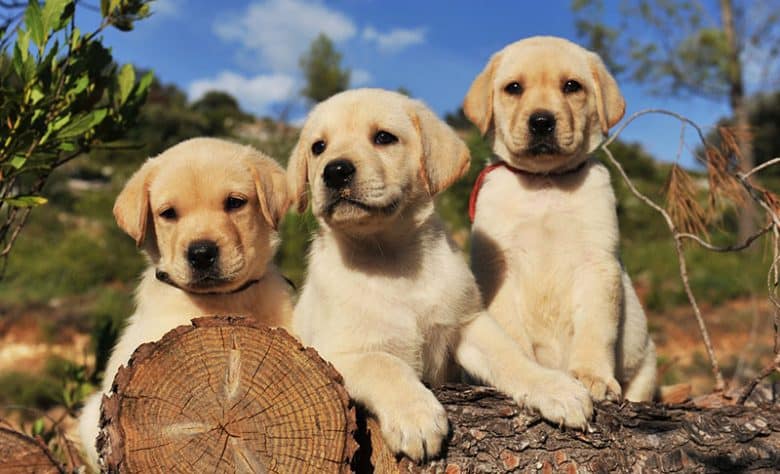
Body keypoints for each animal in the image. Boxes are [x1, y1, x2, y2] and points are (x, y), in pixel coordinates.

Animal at [288, 89, 592, 462]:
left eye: (384, 138)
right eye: (318, 147)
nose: (335, 171)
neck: (392, 260)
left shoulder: (468, 322)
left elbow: (511, 356)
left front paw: (555, 387)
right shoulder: (335, 351)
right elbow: (385, 365)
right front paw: (415, 416)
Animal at [464, 36, 660, 404]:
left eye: (572, 86)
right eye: (514, 88)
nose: (542, 121)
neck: (545, 183)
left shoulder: (597, 263)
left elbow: (596, 330)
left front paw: (591, 376)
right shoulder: (497, 266)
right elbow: (511, 334)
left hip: (647, 365)